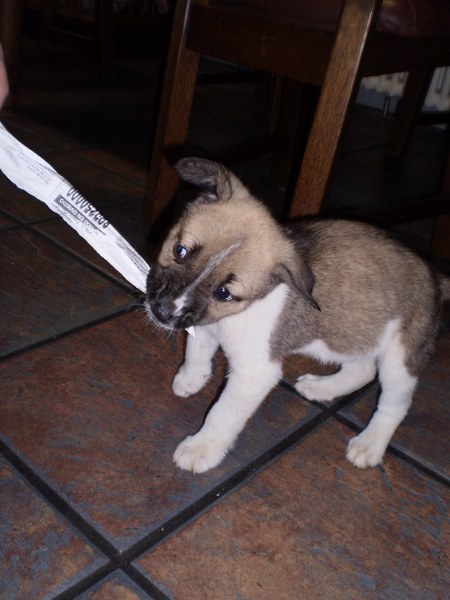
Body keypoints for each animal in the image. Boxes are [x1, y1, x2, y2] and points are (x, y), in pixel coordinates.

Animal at [146, 156, 448, 474]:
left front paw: (202, 447)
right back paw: (322, 388)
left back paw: (370, 444)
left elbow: (222, 413)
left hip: (400, 357)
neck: (232, 316)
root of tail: (436, 276)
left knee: (396, 403)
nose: (161, 311)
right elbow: (196, 350)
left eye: (224, 292)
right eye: (180, 250)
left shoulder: (255, 372)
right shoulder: (201, 323)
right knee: (362, 369)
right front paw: (191, 378)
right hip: (351, 334)